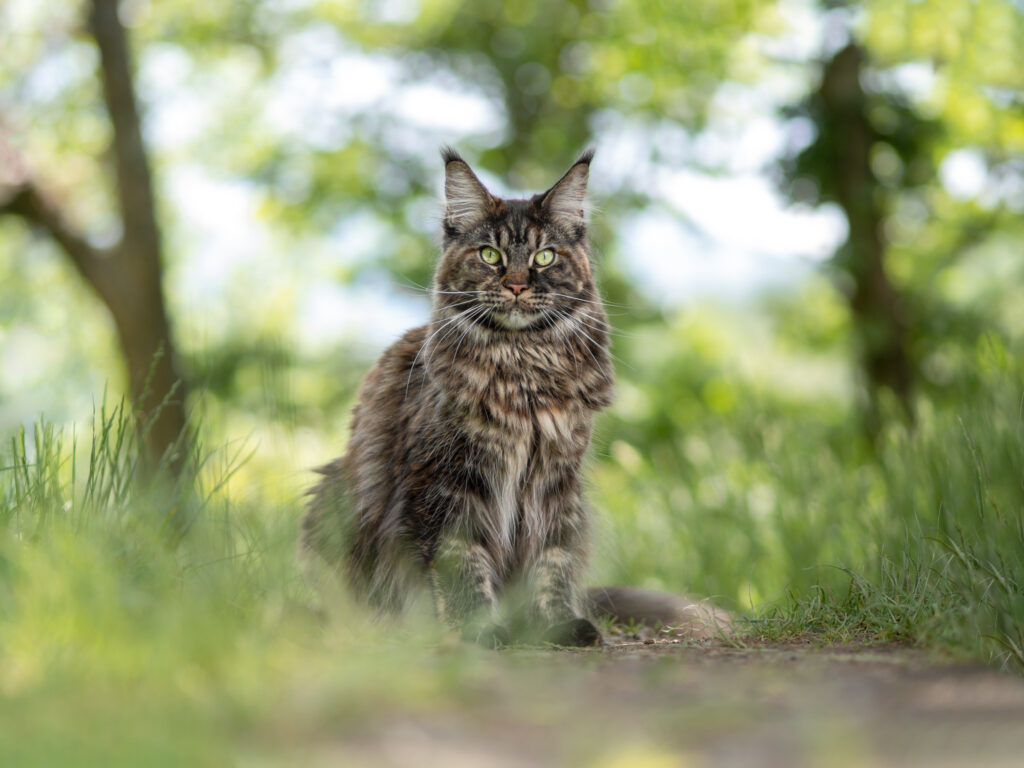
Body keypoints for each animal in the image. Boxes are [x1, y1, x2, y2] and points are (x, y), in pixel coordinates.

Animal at [299, 147, 729, 647]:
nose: (519, 285)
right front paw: (479, 629)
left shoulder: (556, 481)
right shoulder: (446, 483)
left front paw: (557, 624)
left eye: (544, 256)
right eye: (490, 255)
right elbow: (461, 562)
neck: (523, 370)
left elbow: (552, 560)